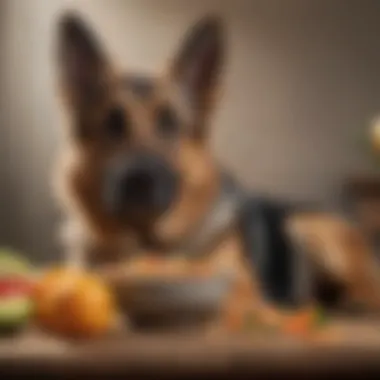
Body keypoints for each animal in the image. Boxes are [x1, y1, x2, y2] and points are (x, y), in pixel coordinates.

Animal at [54, 12, 380, 330]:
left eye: (170, 122)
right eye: (112, 124)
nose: (137, 180)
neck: (150, 243)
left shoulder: (237, 286)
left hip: (310, 229)